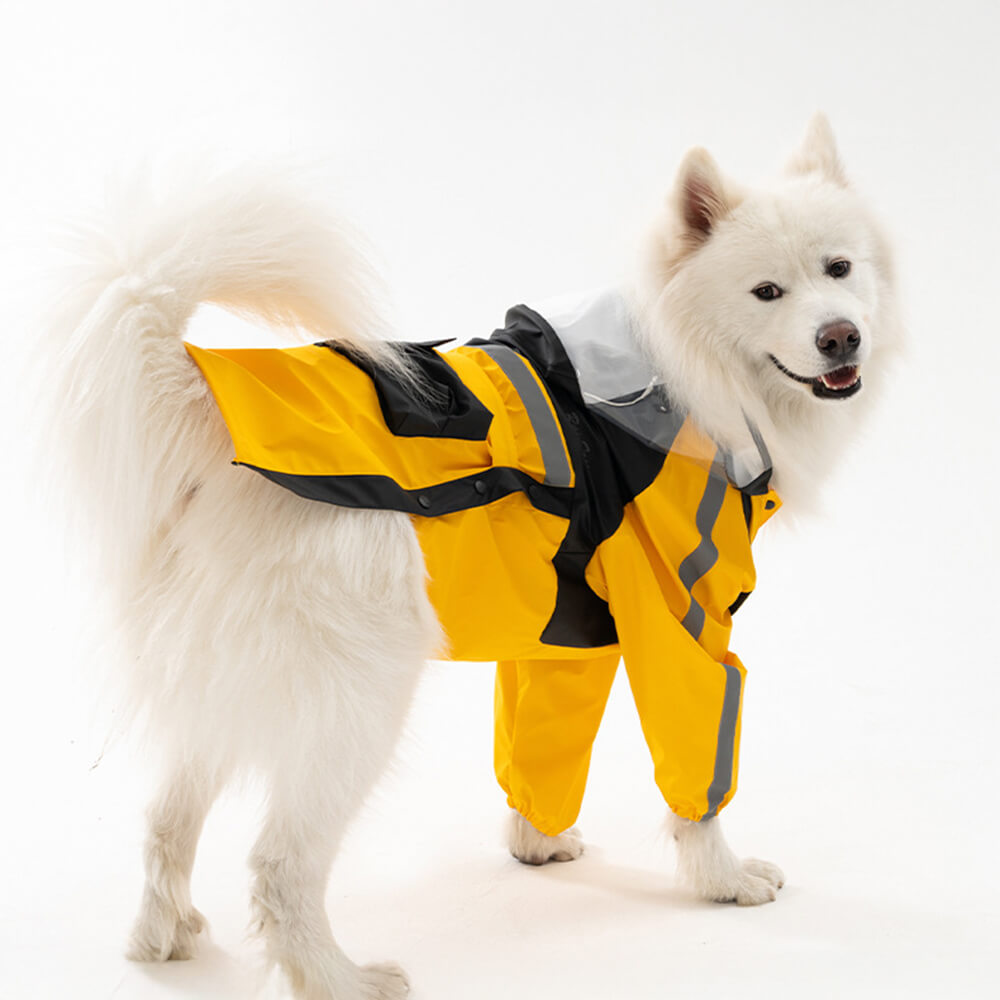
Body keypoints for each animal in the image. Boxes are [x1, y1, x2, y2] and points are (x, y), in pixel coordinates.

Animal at [50, 113, 904, 996]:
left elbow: (544, 745)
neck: (686, 375)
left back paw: (162, 935)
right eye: (767, 292)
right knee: (279, 866)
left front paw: (537, 847)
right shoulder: (683, 628)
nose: (841, 336)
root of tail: (215, 434)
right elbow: (695, 777)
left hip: (225, 688)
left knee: (164, 818)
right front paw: (723, 882)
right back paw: (343, 978)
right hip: (354, 705)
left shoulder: (567, 638)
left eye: (839, 268)